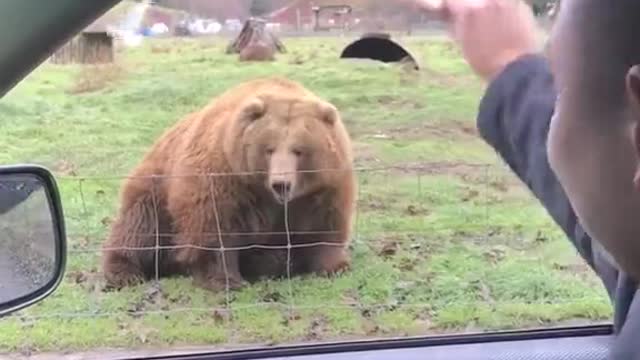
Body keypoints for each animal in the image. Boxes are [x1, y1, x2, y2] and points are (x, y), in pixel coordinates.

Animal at [102, 77, 358, 292]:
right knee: (141, 228)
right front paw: (226, 280)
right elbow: (215, 229)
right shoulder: (226, 177)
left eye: (299, 150)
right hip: (156, 188)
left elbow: (325, 226)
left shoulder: (325, 186)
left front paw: (335, 266)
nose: (281, 183)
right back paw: (124, 273)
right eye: (269, 149)